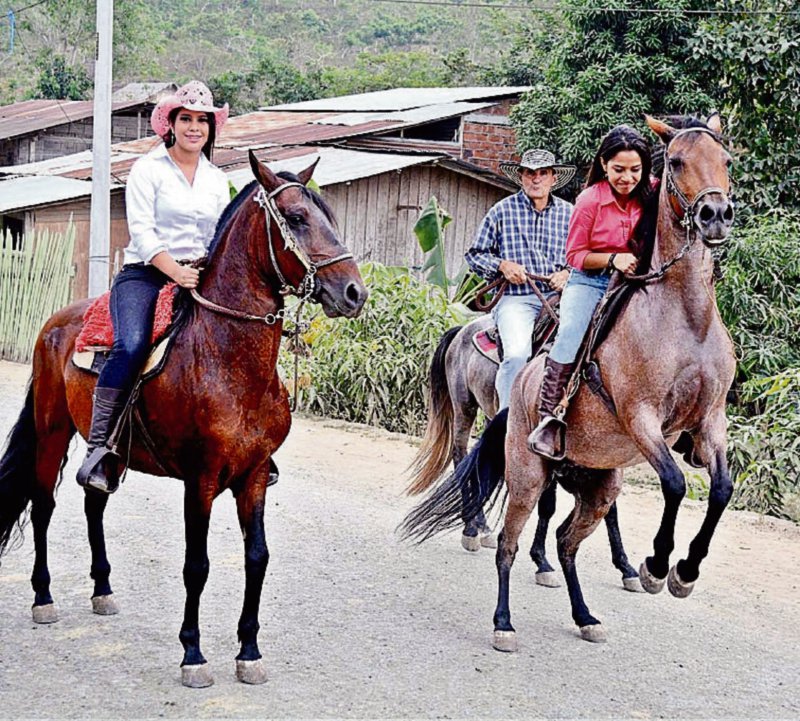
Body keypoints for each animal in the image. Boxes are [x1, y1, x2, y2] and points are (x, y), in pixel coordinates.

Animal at [0, 152, 368, 688]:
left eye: (331, 218)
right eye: (297, 218)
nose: (354, 292)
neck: (226, 356)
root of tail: (54, 325)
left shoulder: (254, 474)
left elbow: (257, 557)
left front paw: (249, 651)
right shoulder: (201, 478)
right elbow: (197, 565)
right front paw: (193, 654)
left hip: (107, 453)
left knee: (93, 502)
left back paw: (103, 590)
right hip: (52, 431)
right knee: (43, 503)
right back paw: (43, 597)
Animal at [410, 316, 640, 592]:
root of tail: (463, 329)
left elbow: (610, 511)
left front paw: (626, 568)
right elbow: (548, 506)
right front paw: (542, 562)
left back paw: (482, 526)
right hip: (464, 406)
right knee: (460, 456)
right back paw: (471, 529)